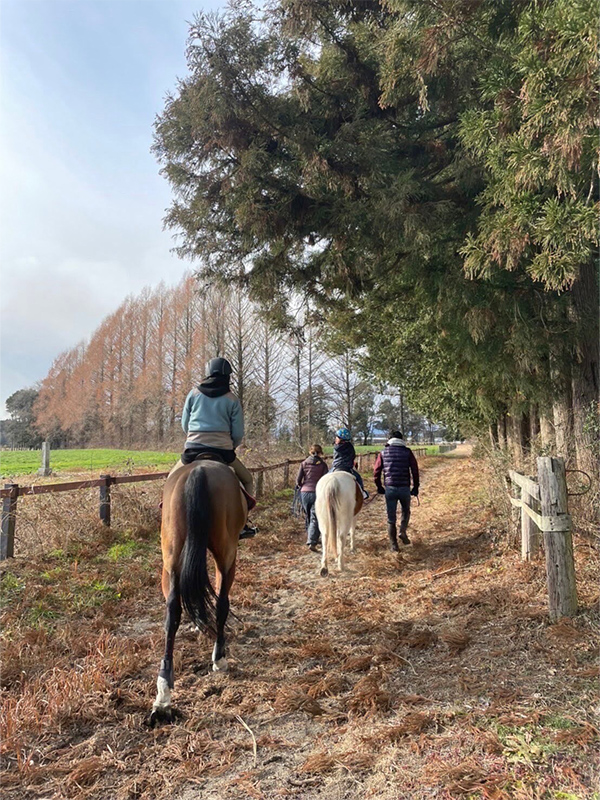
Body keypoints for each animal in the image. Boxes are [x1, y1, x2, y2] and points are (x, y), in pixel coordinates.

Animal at [151, 456, 247, 724]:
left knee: (172, 611)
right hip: (226, 554)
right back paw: (219, 659)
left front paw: (198, 621)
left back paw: (163, 694)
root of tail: (199, 472)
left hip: (171, 556)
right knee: (222, 602)